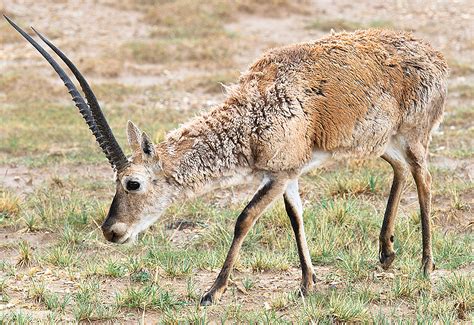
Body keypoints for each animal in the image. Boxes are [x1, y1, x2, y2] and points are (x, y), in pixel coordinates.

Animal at [6, 15, 448, 304]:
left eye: (133, 183)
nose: (112, 232)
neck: (252, 113)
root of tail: (435, 56)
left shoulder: (278, 173)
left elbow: (244, 218)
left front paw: (212, 291)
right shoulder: (287, 173)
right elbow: (296, 216)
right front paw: (307, 283)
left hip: (414, 135)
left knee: (424, 179)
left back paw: (426, 267)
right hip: (382, 141)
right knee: (400, 170)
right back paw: (387, 254)